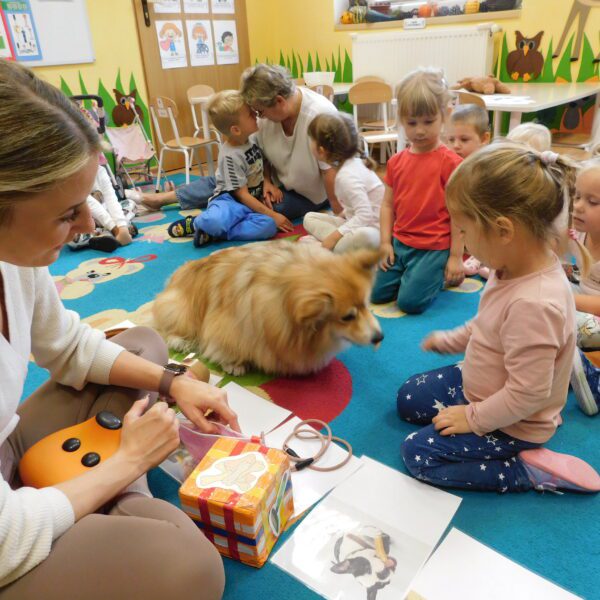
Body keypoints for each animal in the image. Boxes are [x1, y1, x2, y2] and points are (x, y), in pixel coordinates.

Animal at [152, 240, 383, 376]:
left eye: (366, 305)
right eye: (347, 317)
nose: (379, 337)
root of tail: (173, 278)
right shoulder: (224, 326)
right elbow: (223, 346)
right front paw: (234, 364)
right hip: (181, 312)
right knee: (168, 330)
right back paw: (181, 341)